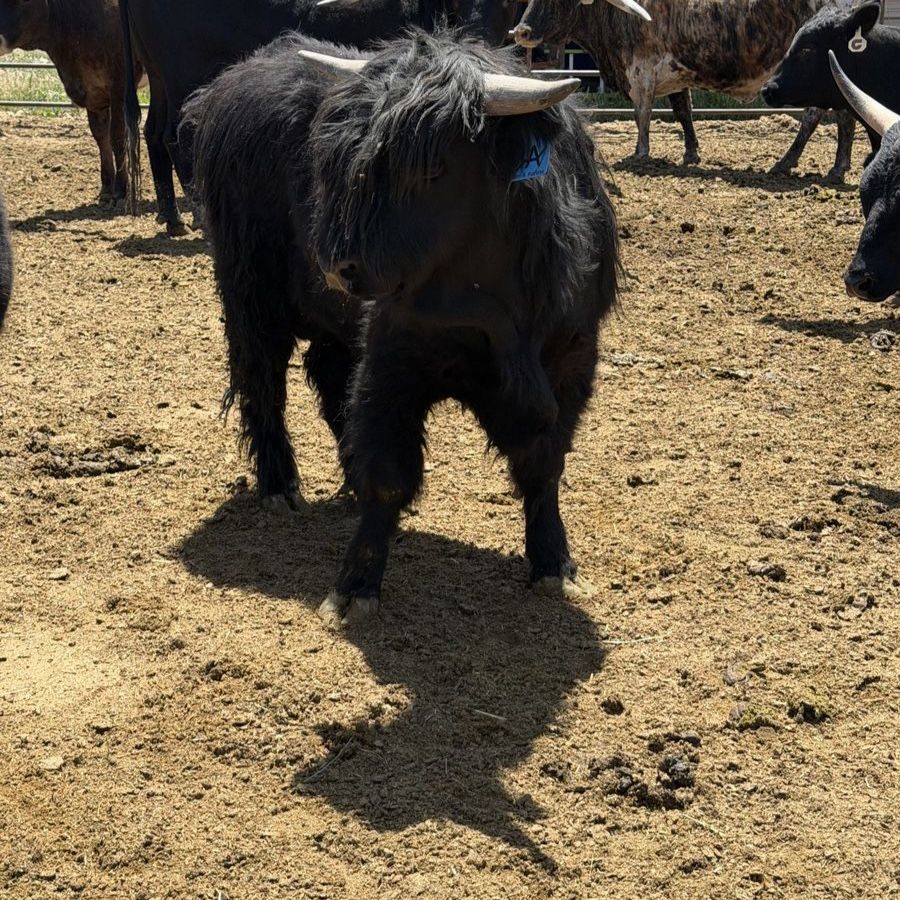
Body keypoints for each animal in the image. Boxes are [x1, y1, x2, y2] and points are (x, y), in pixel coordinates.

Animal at [0, 0, 142, 204]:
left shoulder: (119, 88)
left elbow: (117, 138)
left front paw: (122, 191)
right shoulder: (94, 93)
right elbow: (101, 137)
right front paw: (107, 189)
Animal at [120, 0, 646, 236]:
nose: (522, 30)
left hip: (162, 78)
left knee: (154, 133)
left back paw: (173, 217)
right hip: (182, 73)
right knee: (175, 135)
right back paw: (195, 214)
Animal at [183, 30, 620, 624]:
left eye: (431, 168)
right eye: (346, 159)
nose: (337, 265)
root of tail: (231, 82)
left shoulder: (572, 363)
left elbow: (543, 464)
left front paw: (554, 562)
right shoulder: (393, 356)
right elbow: (387, 473)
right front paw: (355, 586)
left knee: (326, 373)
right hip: (250, 290)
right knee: (262, 381)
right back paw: (279, 486)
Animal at [513, 0, 852, 174]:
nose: (521, 31)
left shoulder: (642, 70)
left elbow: (642, 114)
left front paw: (640, 153)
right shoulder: (677, 74)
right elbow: (683, 112)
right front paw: (691, 153)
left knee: (817, 116)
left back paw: (790, 162)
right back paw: (836, 166)